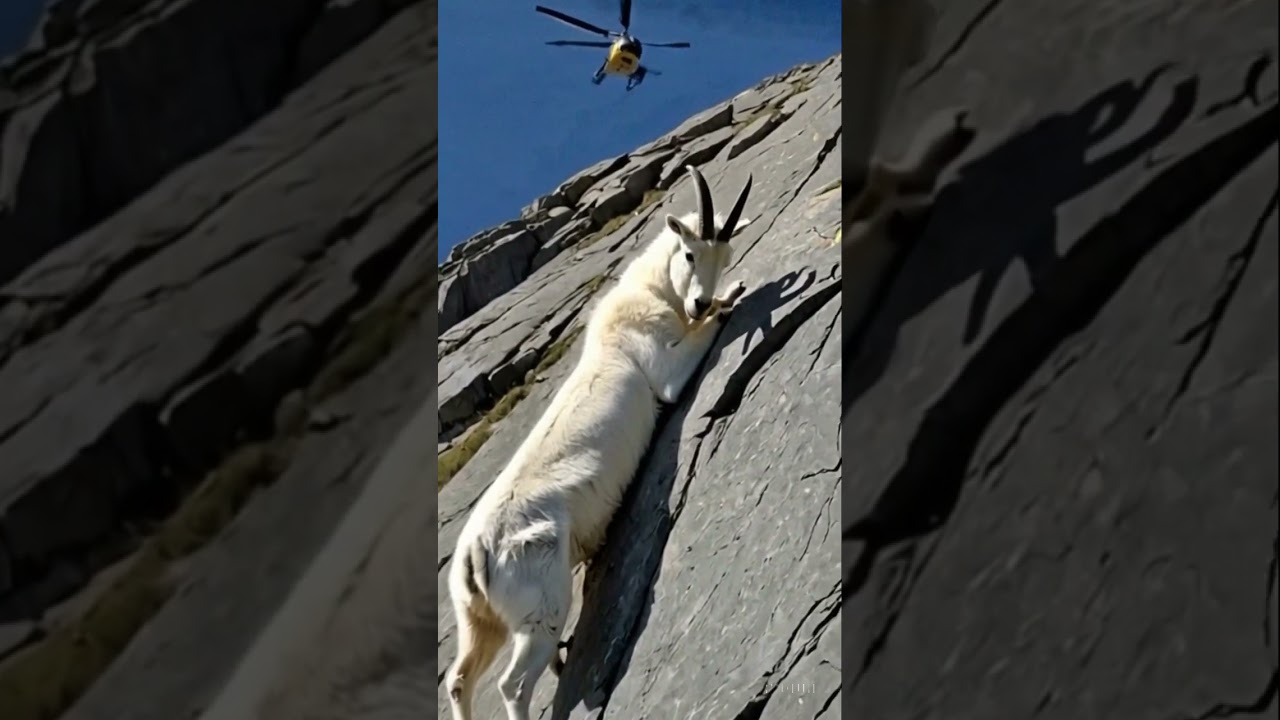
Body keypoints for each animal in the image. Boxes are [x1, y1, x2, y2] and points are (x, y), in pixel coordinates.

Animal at [445, 166, 754, 720]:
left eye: (724, 255)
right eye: (689, 253)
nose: (699, 300)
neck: (649, 296)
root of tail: (474, 558)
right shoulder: (666, 370)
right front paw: (732, 298)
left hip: (480, 621)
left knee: (460, 679)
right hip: (541, 609)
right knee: (512, 684)